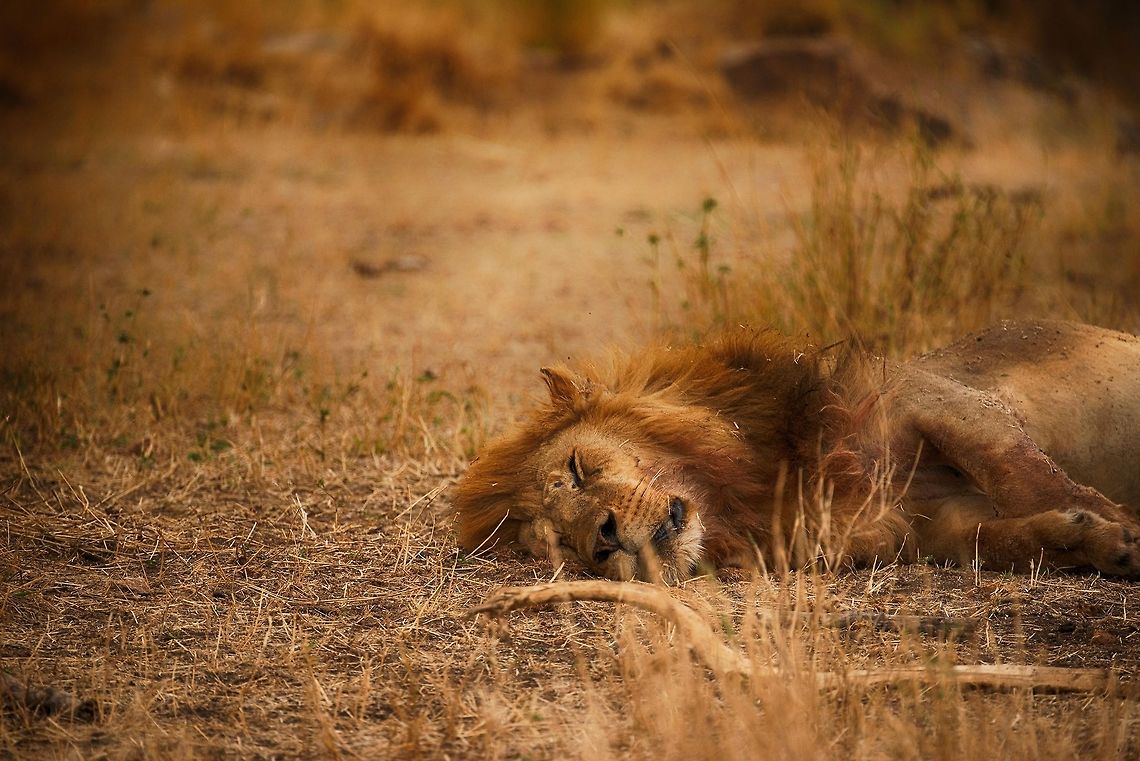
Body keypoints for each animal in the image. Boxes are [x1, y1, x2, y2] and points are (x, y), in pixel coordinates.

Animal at [453, 320, 1140, 581]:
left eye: (576, 468)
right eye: (562, 546)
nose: (603, 541)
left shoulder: (935, 400)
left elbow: (1018, 470)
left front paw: (1120, 526)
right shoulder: (929, 523)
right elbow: (1007, 540)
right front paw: (1096, 542)